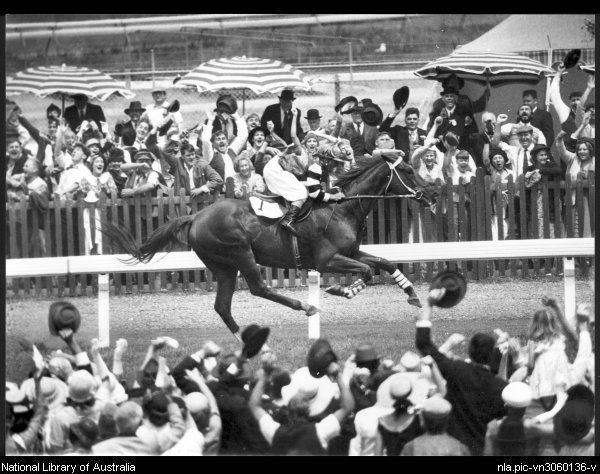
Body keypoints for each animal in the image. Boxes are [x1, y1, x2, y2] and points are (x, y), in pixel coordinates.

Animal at [102, 156, 432, 336]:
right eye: (409, 172)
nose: (431, 194)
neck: (342, 208)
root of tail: (196, 215)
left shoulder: (351, 252)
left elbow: (384, 263)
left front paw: (413, 296)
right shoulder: (327, 259)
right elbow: (365, 271)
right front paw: (342, 290)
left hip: (223, 266)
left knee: (222, 306)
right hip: (240, 254)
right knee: (259, 288)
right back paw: (306, 306)